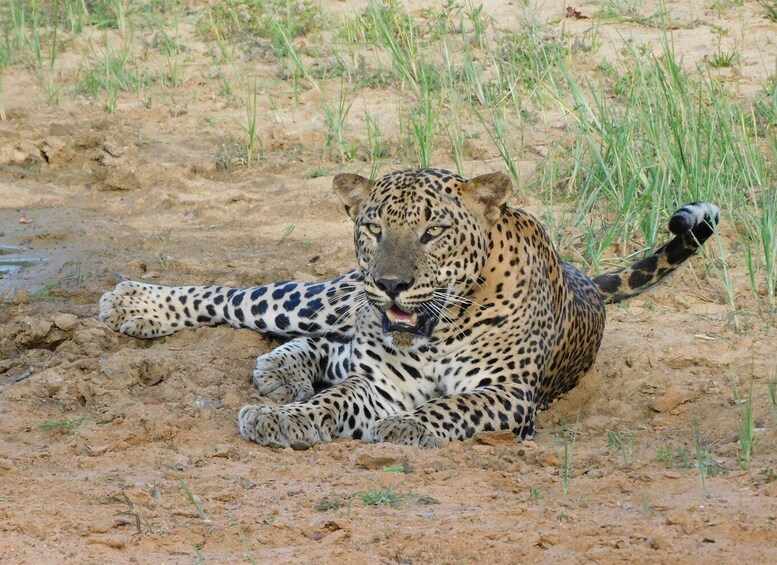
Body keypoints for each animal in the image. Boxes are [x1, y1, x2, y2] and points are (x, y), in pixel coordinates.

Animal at [100, 168, 719, 448]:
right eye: (374, 228)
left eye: (432, 232)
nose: (392, 283)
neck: (437, 327)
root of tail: (583, 272)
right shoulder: (381, 384)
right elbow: (332, 401)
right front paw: (284, 418)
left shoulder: (509, 396)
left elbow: (449, 406)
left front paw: (403, 428)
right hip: (332, 295)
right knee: (244, 300)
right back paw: (137, 302)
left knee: (334, 346)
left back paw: (281, 368)